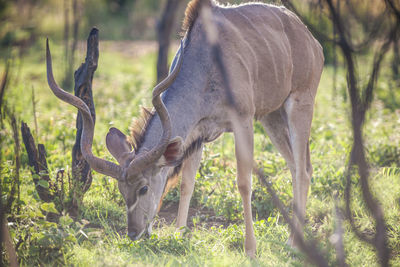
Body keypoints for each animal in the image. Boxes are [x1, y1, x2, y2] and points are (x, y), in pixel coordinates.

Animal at [45, 0, 324, 260]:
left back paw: (293, 244)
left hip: (300, 104)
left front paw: (250, 250)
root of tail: (312, 40)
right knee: (296, 166)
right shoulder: (197, 133)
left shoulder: (242, 120)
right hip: (271, 117)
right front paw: (179, 235)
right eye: (122, 191)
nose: (134, 233)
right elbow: (187, 183)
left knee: (303, 169)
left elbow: (244, 182)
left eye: (143, 188)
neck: (206, 63)